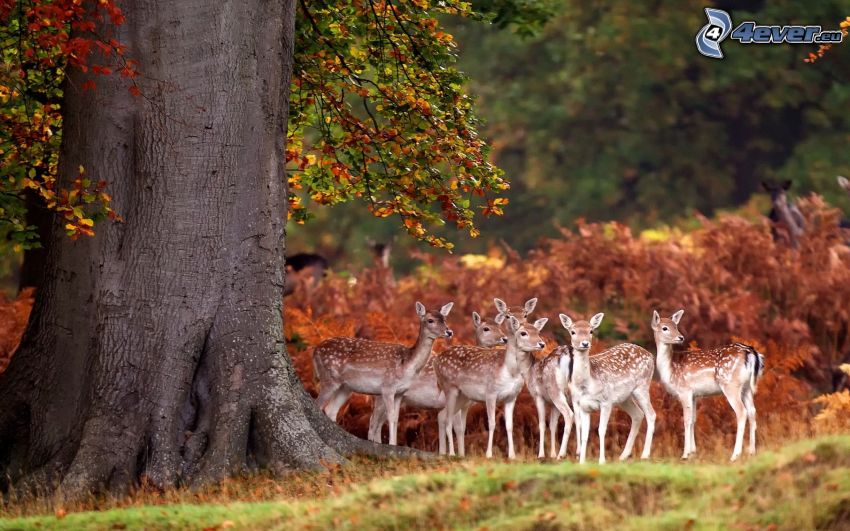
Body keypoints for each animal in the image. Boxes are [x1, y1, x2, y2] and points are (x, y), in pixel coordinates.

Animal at [312, 302, 454, 446]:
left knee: (331, 409)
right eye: (430, 320)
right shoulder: (387, 387)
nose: (449, 332)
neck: (407, 365)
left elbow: (396, 418)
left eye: (444, 319)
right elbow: (390, 417)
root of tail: (315, 351)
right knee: (318, 404)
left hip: (345, 387)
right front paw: (392, 444)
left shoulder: (400, 392)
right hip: (329, 378)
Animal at [364, 312, 504, 454]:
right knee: (373, 422)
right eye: (486, 328)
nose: (504, 338)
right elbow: (458, 427)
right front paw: (457, 454)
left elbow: (448, 423)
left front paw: (445, 452)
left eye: (499, 326)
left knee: (379, 422)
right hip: (382, 396)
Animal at [434, 314, 548, 460]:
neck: (510, 371)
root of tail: (436, 360)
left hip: (463, 396)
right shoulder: (490, 393)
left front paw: (512, 455)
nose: (541, 344)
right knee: (448, 419)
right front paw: (488, 454)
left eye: (538, 332)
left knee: (443, 415)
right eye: (523, 333)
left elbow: (509, 425)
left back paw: (445, 453)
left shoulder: (511, 397)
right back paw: (452, 453)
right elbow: (492, 423)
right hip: (449, 387)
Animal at [560, 314, 660, 464]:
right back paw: (623, 455)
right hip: (624, 398)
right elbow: (584, 433)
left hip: (642, 386)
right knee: (638, 414)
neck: (587, 384)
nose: (585, 343)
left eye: (591, 331)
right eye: (573, 332)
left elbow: (601, 430)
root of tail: (650, 355)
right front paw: (582, 462)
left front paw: (602, 461)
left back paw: (645, 455)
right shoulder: (583, 406)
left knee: (651, 414)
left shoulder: (606, 401)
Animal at [652, 310, 764, 464]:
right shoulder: (694, 395)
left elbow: (686, 420)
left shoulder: (684, 390)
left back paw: (735, 455)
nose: (681, 337)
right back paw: (752, 452)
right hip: (746, 387)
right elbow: (693, 420)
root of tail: (751, 353)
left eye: (676, 326)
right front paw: (693, 452)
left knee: (742, 412)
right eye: (665, 328)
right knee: (752, 411)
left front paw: (685, 454)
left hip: (730, 384)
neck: (670, 369)